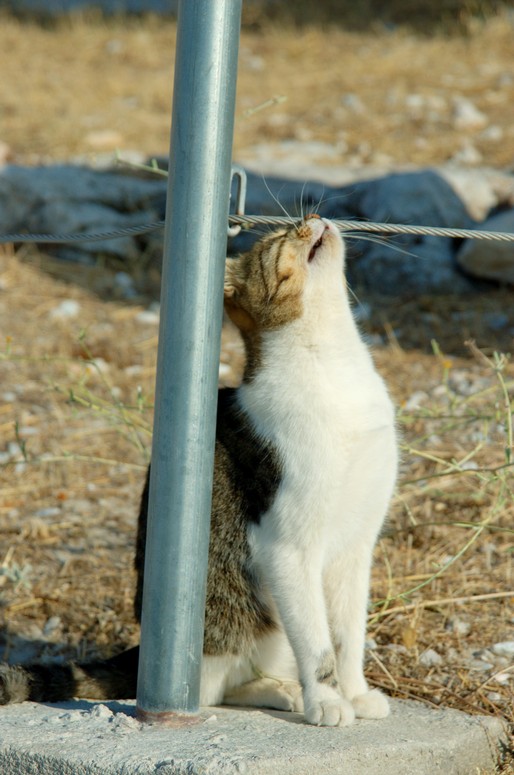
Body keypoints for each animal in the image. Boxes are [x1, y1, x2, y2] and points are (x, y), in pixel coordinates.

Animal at [0, 215, 397, 727]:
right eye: (280, 239)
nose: (310, 219)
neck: (332, 364)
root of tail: (143, 650)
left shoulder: (357, 545)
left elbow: (348, 636)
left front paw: (356, 692)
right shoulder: (288, 547)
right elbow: (318, 642)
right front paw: (328, 701)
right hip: (239, 622)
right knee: (218, 687)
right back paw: (285, 691)